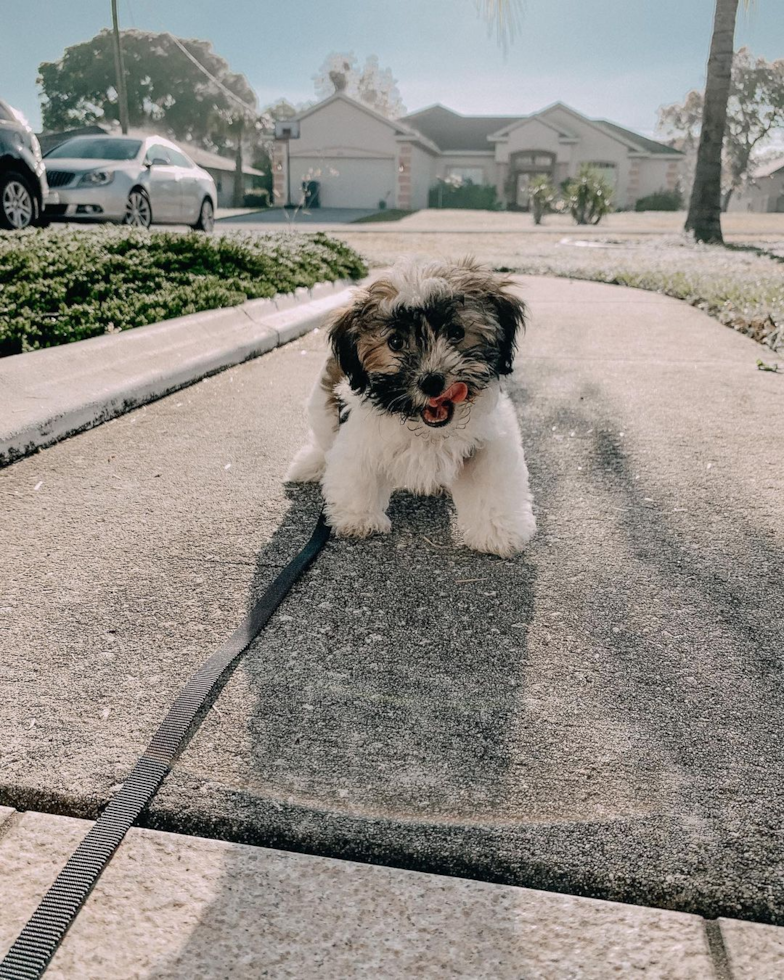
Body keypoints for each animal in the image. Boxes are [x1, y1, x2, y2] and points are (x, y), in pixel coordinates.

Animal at [284, 256, 536, 556]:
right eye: (395, 342)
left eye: (456, 332)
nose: (432, 381)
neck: (424, 428)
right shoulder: (358, 433)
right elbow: (356, 471)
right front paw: (358, 518)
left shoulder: (488, 442)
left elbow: (492, 483)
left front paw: (498, 531)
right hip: (322, 407)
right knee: (323, 441)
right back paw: (311, 463)